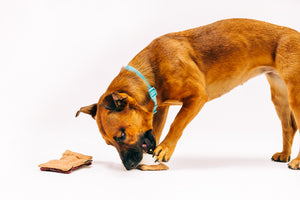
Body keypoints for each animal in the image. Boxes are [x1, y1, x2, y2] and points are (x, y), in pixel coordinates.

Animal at [75, 18, 300, 170]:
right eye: (109, 143)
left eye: (121, 135)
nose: (128, 167)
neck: (151, 73)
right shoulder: (160, 108)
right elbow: (157, 130)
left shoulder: (197, 98)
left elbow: (177, 123)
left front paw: (165, 149)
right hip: (279, 97)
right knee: (289, 127)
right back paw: (285, 155)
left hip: (295, 97)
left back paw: (296, 161)